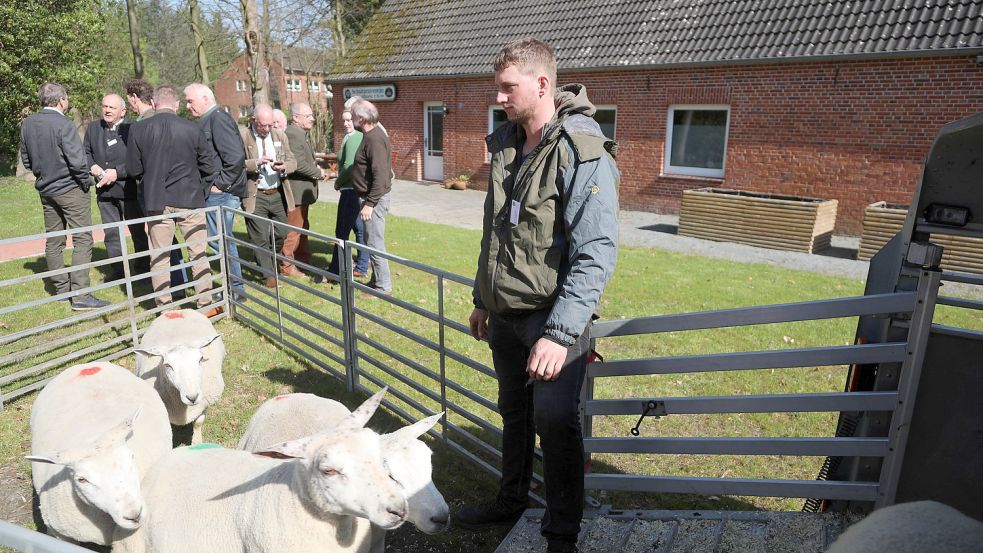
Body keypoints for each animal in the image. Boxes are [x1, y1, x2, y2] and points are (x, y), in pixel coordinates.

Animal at [134, 309, 225, 444]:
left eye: (201, 359)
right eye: (167, 365)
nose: (192, 397)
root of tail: (177, 310)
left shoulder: (203, 404)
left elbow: (198, 423)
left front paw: (197, 442)